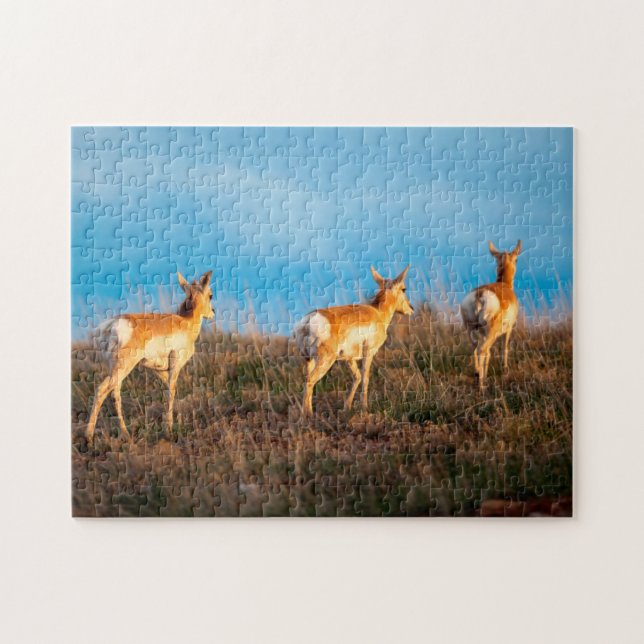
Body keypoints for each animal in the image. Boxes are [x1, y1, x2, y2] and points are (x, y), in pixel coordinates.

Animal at [86, 271, 214, 445]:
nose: (213, 312)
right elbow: (171, 392)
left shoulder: (159, 370)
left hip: (115, 370)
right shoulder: (175, 367)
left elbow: (169, 390)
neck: (185, 322)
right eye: (210, 295)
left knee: (113, 394)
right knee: (103, 390)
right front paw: (169, 430)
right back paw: (97, 437)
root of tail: (112, 324)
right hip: (123, 368)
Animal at [294, 266, 414, 417]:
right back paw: (308, 416)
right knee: (310, 381)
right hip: (325, 361)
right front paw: (365, 409)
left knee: (307, 379)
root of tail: (308, 320)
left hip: (309, 360)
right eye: (404, 289)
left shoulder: (349, 358)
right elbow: (365, 377)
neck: (377, 312)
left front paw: (347, 407)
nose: (411, 308)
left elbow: (357, 377)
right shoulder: (368, 353)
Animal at [461, 240, 522, 389]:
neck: (504, 284)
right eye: (516, 259)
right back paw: (481, 383)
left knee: (475, 347)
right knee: (481, 349)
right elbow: (505, 347)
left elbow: (488, 354)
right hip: (490, 333)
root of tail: (480, 294)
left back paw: (478, 376)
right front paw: (505, 371)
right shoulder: (509, 330)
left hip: (471, 330)